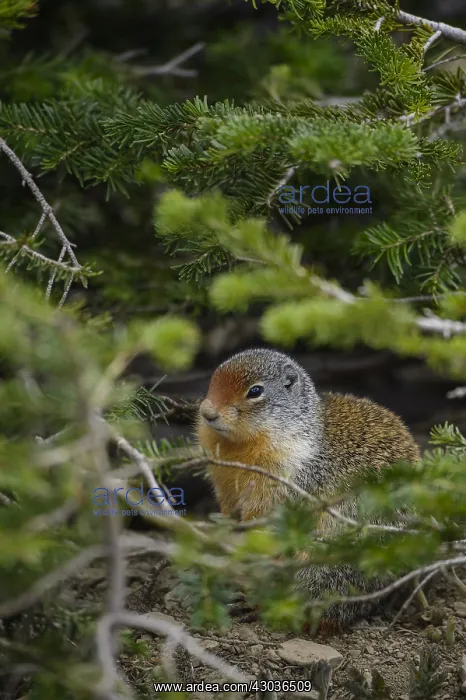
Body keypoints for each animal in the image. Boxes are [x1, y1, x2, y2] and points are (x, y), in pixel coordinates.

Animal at [196, 348, 421, 629]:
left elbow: (265, 516)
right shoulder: (224, 483)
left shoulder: (283, 481)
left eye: (255, 391)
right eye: (214, 377)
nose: (207, 412)